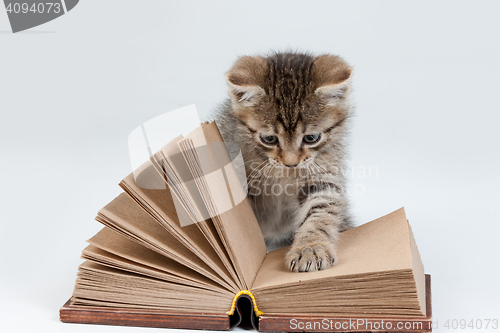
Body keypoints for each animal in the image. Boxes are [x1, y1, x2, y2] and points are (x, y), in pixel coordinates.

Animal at [214, 51, 352, 270]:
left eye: (311, 138)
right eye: (269, 139)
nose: (291, 163)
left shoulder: (324, 176)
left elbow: (319, 214)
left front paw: (310, 248)